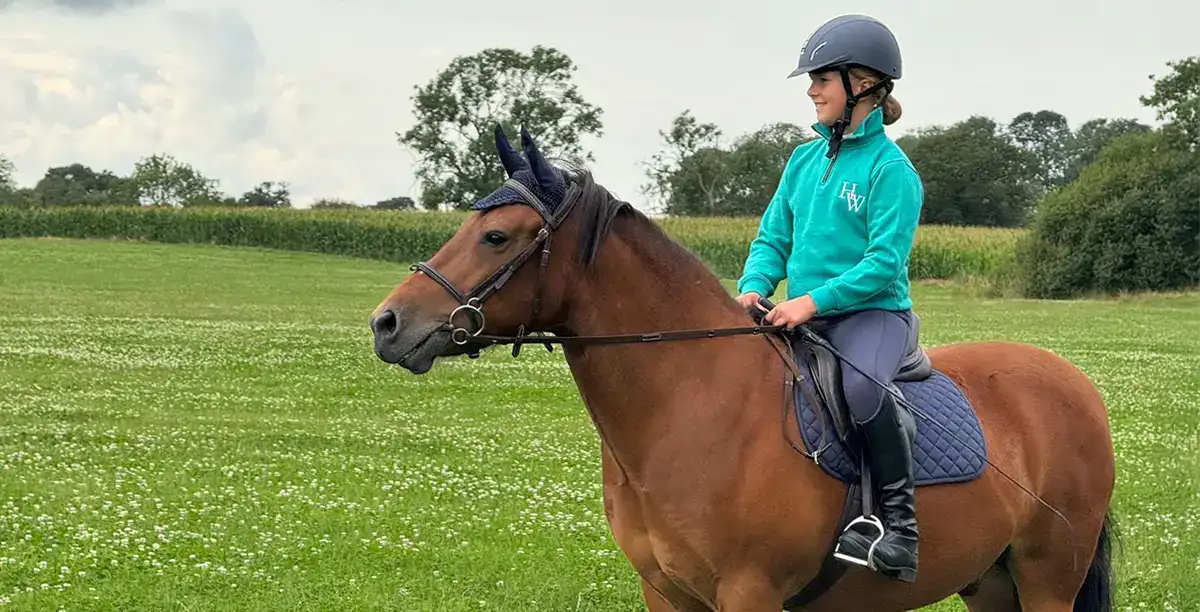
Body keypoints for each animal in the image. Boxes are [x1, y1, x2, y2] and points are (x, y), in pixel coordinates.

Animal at [369, 125, 1117, 612]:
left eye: (496, 236)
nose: (387, 324)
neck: (691, 400)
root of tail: (1074, 381)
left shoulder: (748, 593)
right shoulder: (667, 594)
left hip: (1049, 579)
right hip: (991, 583)